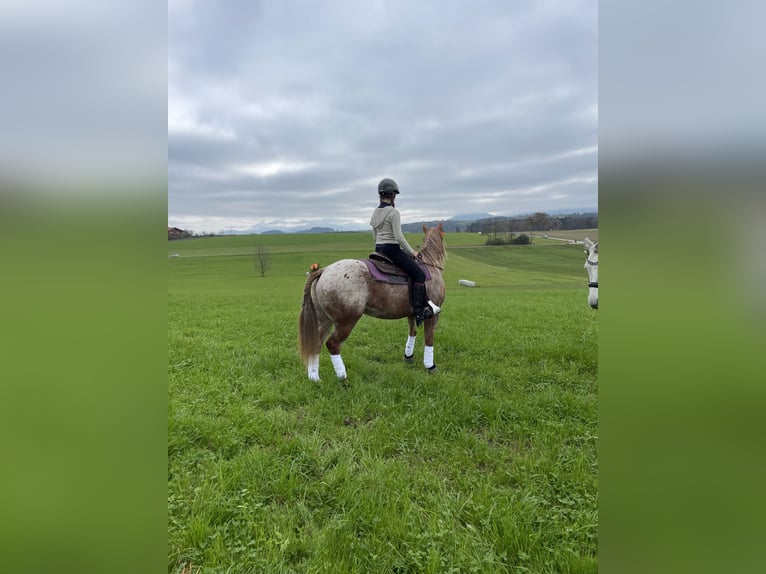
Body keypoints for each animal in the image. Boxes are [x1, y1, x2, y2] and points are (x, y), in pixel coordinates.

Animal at [296, 225, 448, 382]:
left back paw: (315, 379)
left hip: (324, 320)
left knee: (316, 344)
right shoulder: (433, 315)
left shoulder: (412, 314)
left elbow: (412, 333)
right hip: (346, 321)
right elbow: (429, 338)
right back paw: (343, 378)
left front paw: (408, 357)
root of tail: (324, 270)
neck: (430, 266)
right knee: (333, 344)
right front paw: (430, 366)